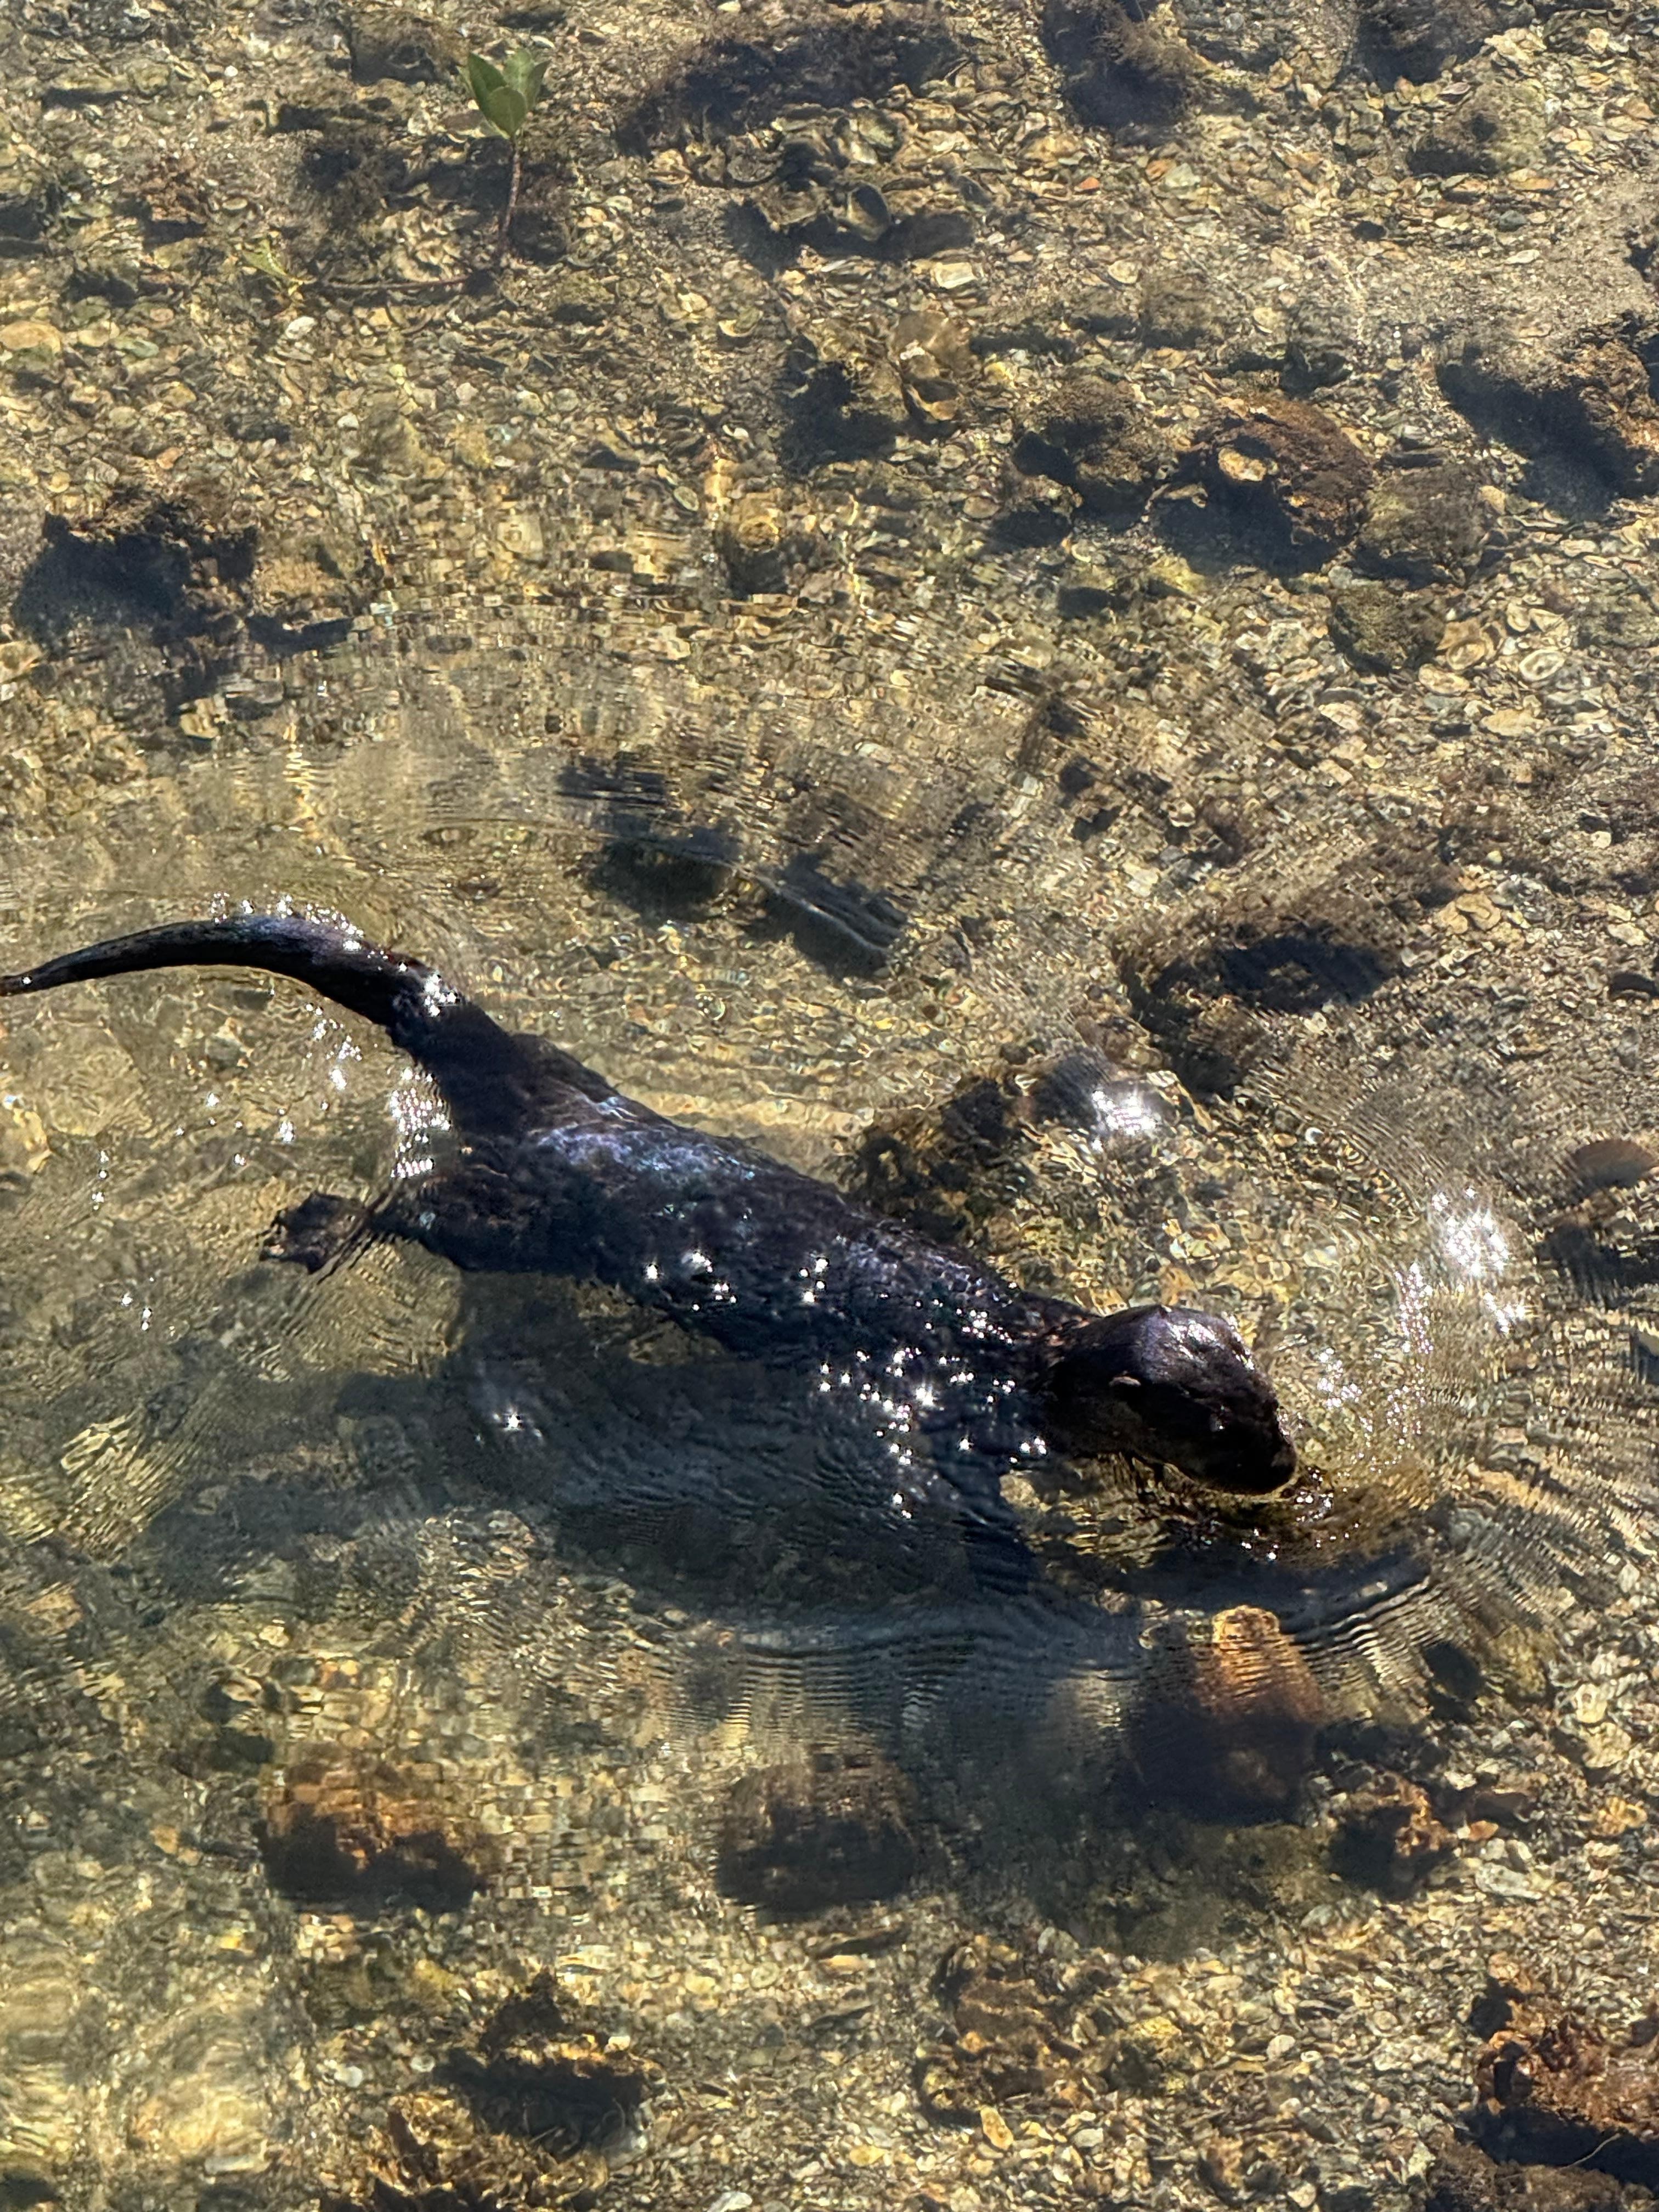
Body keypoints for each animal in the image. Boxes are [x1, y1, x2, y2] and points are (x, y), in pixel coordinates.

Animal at [0, 914, 1295, 1519]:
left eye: (1266, 1402)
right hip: (520, 1216)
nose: (1282, 1467)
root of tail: (580, 1105)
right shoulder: (961, 1428)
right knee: (417, 1198)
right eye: (1216, 1429)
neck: (1025, 1352)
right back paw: (321, 1228)